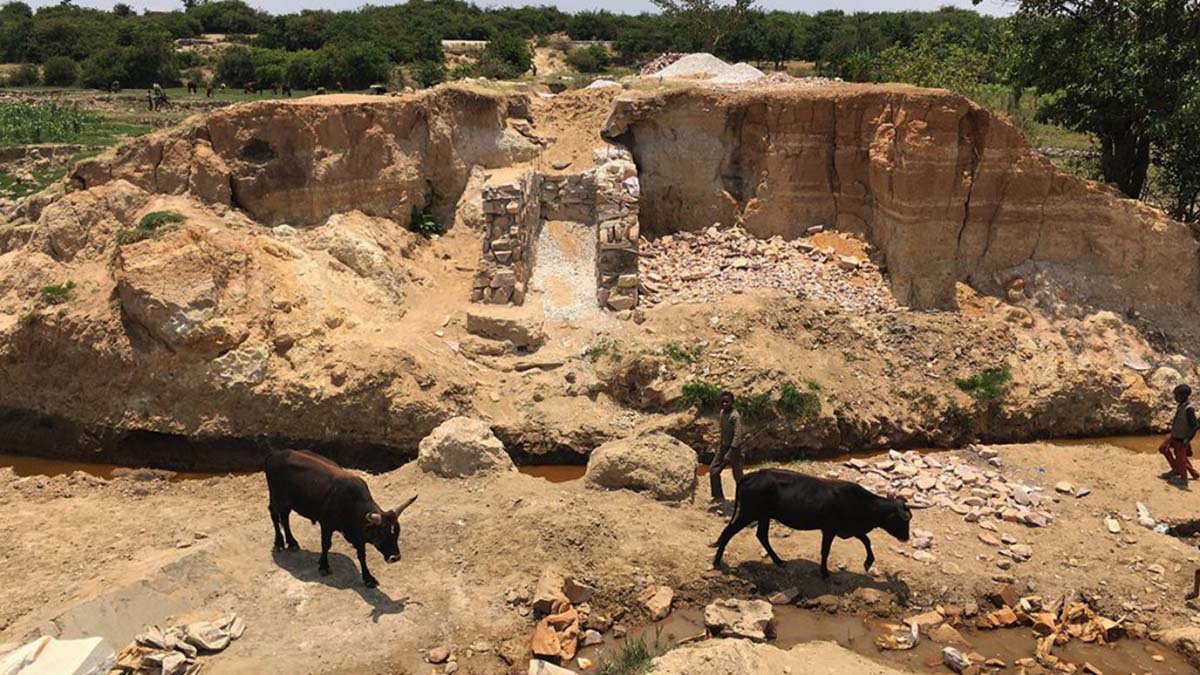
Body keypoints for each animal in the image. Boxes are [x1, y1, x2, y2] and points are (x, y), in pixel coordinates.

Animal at [265, 449, 420, 586]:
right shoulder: (326, 525)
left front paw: (368, 578)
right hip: (276, 498)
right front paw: (323, 566)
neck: (351, 503)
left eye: (397, 532)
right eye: (381, 533)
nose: (395, 557)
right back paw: (279, 543)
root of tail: (275, 454)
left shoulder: (359, 535)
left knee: (285, 517)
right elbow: (326, 545)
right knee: (274, 514)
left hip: (288, 502)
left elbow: (361, 554)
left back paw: (292, 543)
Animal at [710, 468, 907, 571]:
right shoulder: (830, 529)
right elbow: (825, 551)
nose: (906, 538)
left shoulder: (849, 529)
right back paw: (717, 561)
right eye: (903, 519)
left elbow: (866, 540)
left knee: (761, 536)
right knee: (729, 531)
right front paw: (824, 573)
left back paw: (779, 561)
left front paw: (868, 562)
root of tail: (752, 475)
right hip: (749, 513)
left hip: (764, 515)